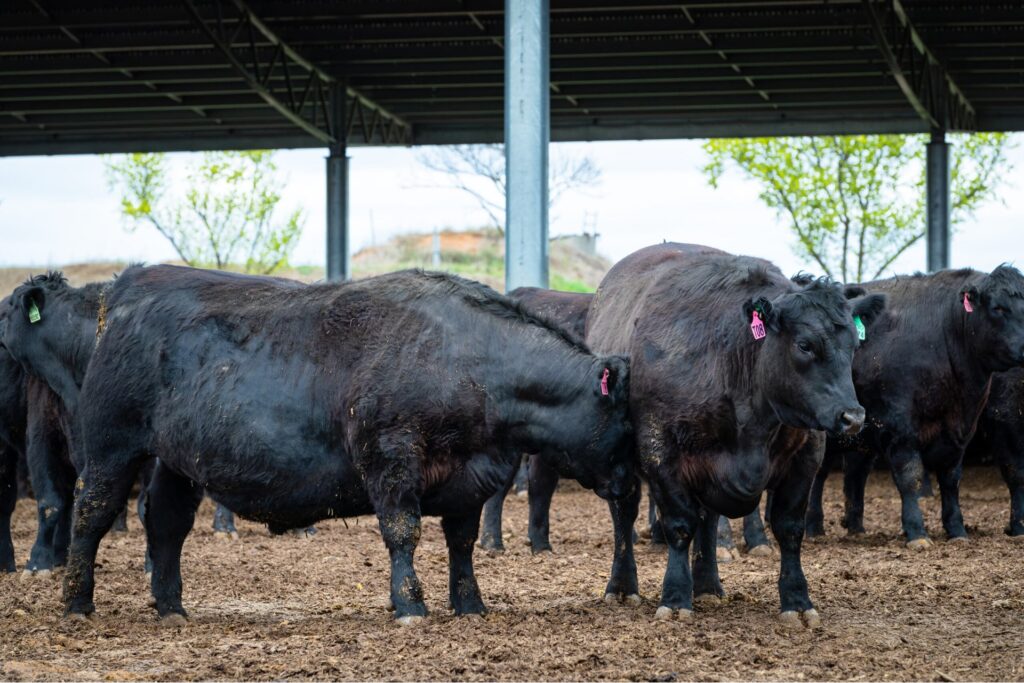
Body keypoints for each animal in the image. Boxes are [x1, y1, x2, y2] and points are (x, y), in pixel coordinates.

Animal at [0, 264, 634, 625]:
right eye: (627, 422)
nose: (633, 486)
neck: (470, 359)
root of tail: (124, 293)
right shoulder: (390, 454)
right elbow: (402, 531)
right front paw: (410, 605)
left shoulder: (469, 480)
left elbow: (461, 544)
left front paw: (470, 604)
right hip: (112, 443)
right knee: (91, 512)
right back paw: (77, 603)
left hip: (177, 462)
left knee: (166, 523)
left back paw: (171, 607)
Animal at [586, 243, 884, 627]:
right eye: (805, 345)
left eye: (854, 346)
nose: (852, 416)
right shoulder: (660, 451)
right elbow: (679, 525)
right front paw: (675, 597)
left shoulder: (806, 456)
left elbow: (789, 529)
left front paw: (798, 600)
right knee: (624, 515)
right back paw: (623, 587)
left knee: (708, 518)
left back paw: (709, 586)